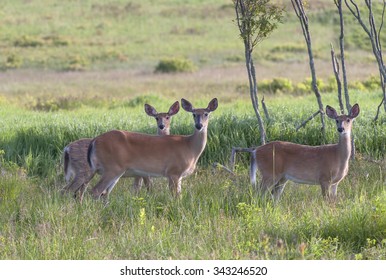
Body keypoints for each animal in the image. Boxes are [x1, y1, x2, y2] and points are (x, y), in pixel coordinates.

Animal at [86, 97, 217, 200]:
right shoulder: (173, 171)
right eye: (193, 114)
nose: (199, 125)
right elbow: (176, 197)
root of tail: (95, 140)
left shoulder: (178, 176)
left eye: (206, 114)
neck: (190, 147)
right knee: (95, 191)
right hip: (112, 167)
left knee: (103, 193)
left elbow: (179, 195)